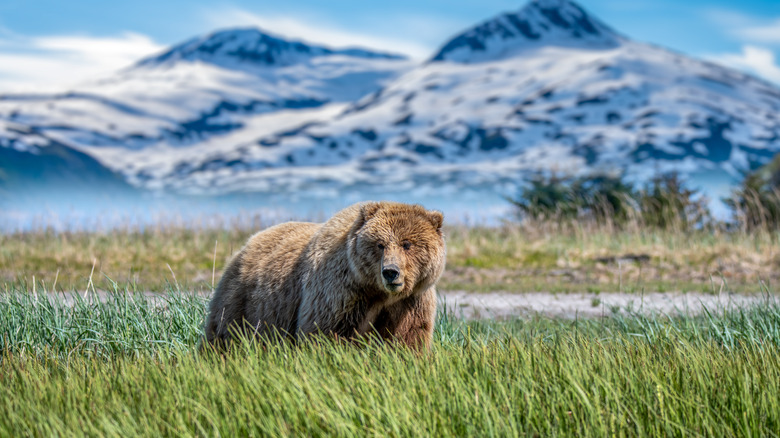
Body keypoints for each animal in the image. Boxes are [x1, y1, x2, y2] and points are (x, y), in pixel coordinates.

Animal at [201, 201, 444, 350]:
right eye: (380, 244)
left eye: (407, 244)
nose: (391, 272)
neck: (377, 292)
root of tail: (247, 243)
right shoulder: (340, 292)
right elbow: (325, 333)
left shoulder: (411, 301)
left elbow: (407, 338)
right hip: (245, 302)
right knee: (224, 333)